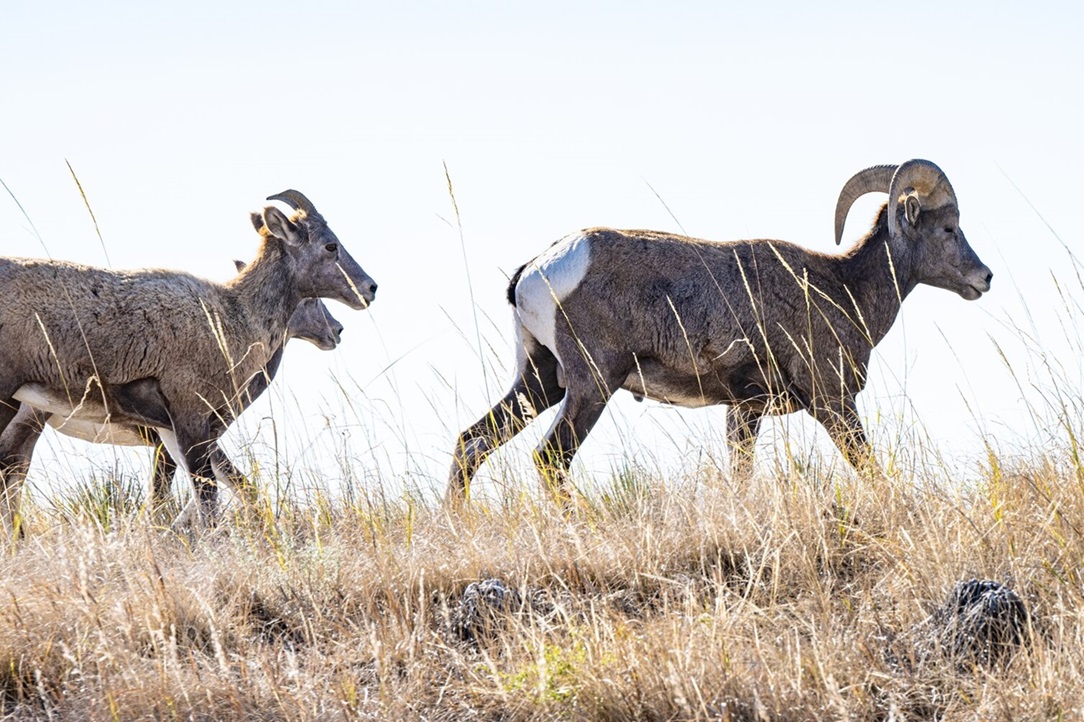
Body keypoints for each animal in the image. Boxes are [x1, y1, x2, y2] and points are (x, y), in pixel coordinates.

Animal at [447, 159, 992, 501]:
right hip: (590, 387)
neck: (842, 288)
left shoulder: (745, 411)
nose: (983, 278)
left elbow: (742, 475)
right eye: (948, 229)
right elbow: (869, 469)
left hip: (540, 381)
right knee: (549, 460)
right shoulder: (831, 402)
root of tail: (538, 268)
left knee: (471, 443)